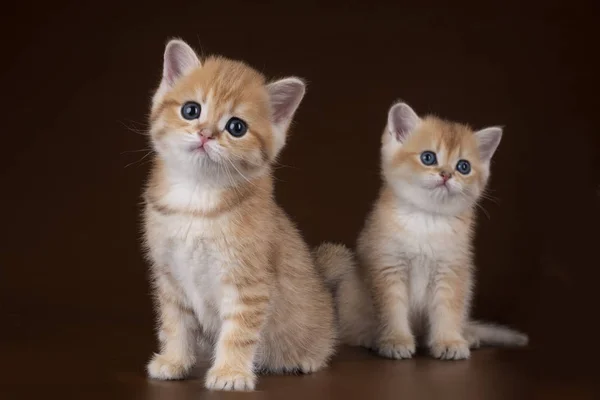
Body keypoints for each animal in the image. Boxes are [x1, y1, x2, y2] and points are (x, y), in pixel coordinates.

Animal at [142, 39, 336, 390]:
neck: (197, 198)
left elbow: (238, 332)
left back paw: (306, 358)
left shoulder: (248, 282)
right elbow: (176, 323)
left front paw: (230, 373)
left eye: (236, 127)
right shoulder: (169, 275)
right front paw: (174, 361)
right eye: (191, 110)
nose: (205, 134)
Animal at [316, 101, 528, 360]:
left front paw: (449, 341)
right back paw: (369, 338)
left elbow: (447, 310)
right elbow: (392, 309)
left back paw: (467, 335)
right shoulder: (388, 266)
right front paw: (396, 340)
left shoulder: (451, 270)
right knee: (349, 332)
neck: (427, 220)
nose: (446, 174)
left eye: (463, 166)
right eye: (428, 157)